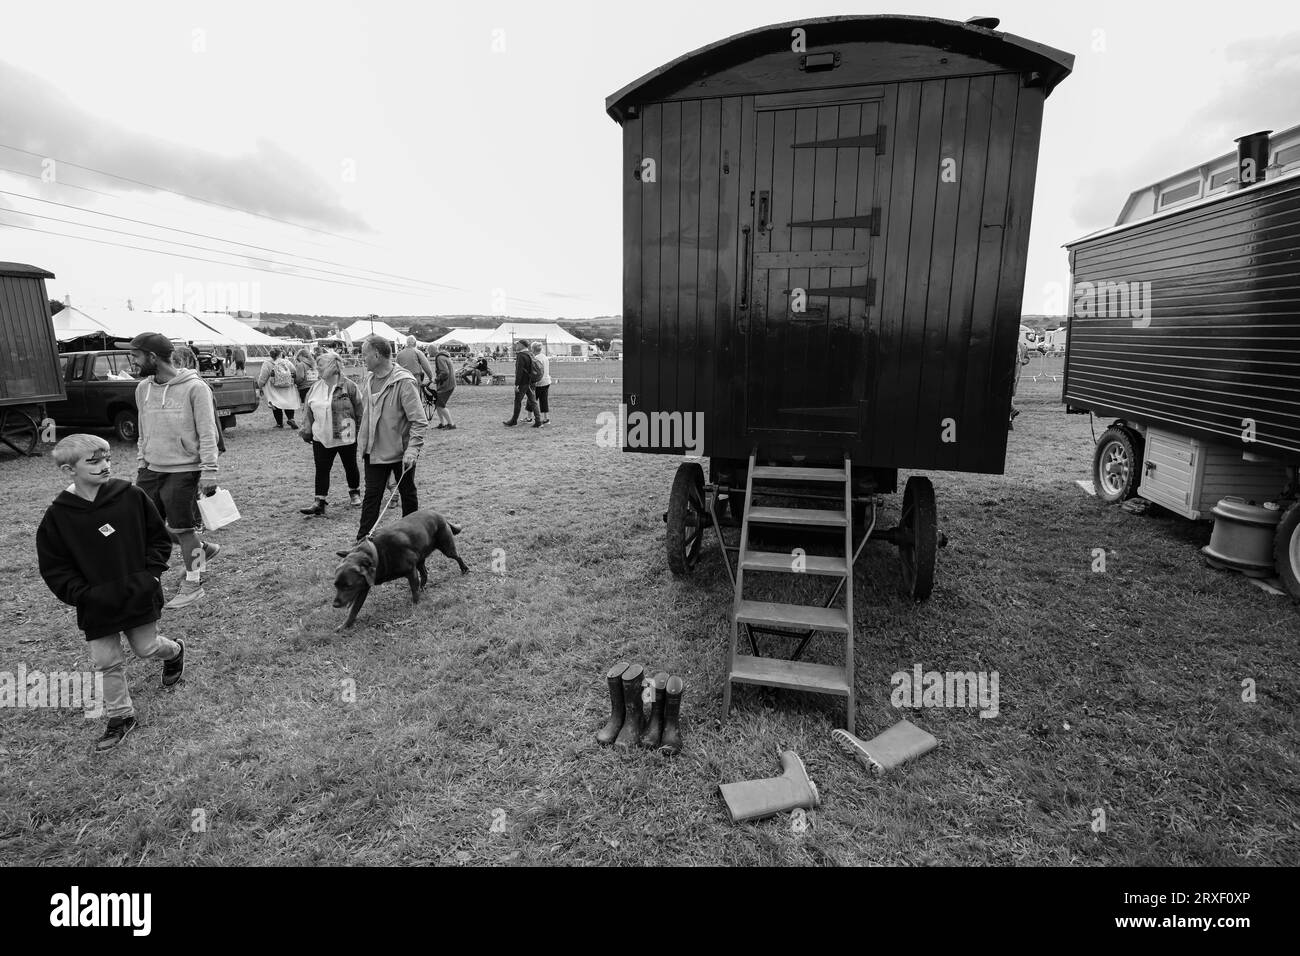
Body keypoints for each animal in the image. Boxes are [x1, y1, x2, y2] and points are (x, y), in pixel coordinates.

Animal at [332, 509, 470, 629]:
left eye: (348, 586)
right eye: (336, 585)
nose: (335, 605)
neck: (376, 552)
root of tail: (439, 514)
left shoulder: (411, 571)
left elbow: (414, 591)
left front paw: (416, 605)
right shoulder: (363, 588)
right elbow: (354, 610)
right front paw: (345, 625)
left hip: (447, 548)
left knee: (457, 557)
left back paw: (465, 570)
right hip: (420, 559)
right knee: (425, 574)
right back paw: (423, 588)